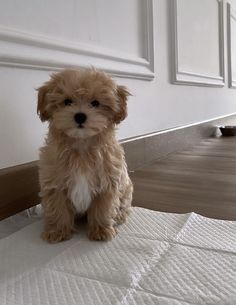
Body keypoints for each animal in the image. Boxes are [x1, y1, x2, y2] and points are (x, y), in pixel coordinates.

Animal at [37, 67, 133, 241]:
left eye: (95, 103)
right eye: (67, 101)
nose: (80, 116)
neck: (81, 146)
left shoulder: (108, 182)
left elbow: (103, 208)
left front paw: (101, 230)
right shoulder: (54, 182)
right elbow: (58, 207)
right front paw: (57, 231)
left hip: (126, 190)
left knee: (125, 207)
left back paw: (119, 216)